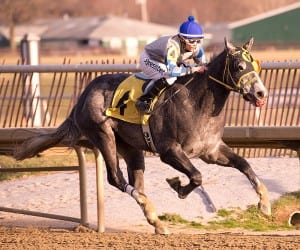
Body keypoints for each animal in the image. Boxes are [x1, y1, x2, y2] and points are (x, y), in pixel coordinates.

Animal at [14, 37, 272, 234]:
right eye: (239, 67)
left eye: (256, 66)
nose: (261, 93)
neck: (197, 102)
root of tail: (83, 96)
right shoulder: (170, 151)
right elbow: (197, 176)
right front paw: (178, 186)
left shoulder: (211, 151)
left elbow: (244, 165)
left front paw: (264, 204)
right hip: (103, 135)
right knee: (116, 178)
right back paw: (152, 213)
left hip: (131, 147)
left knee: (135, 180)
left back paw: (156, 221)